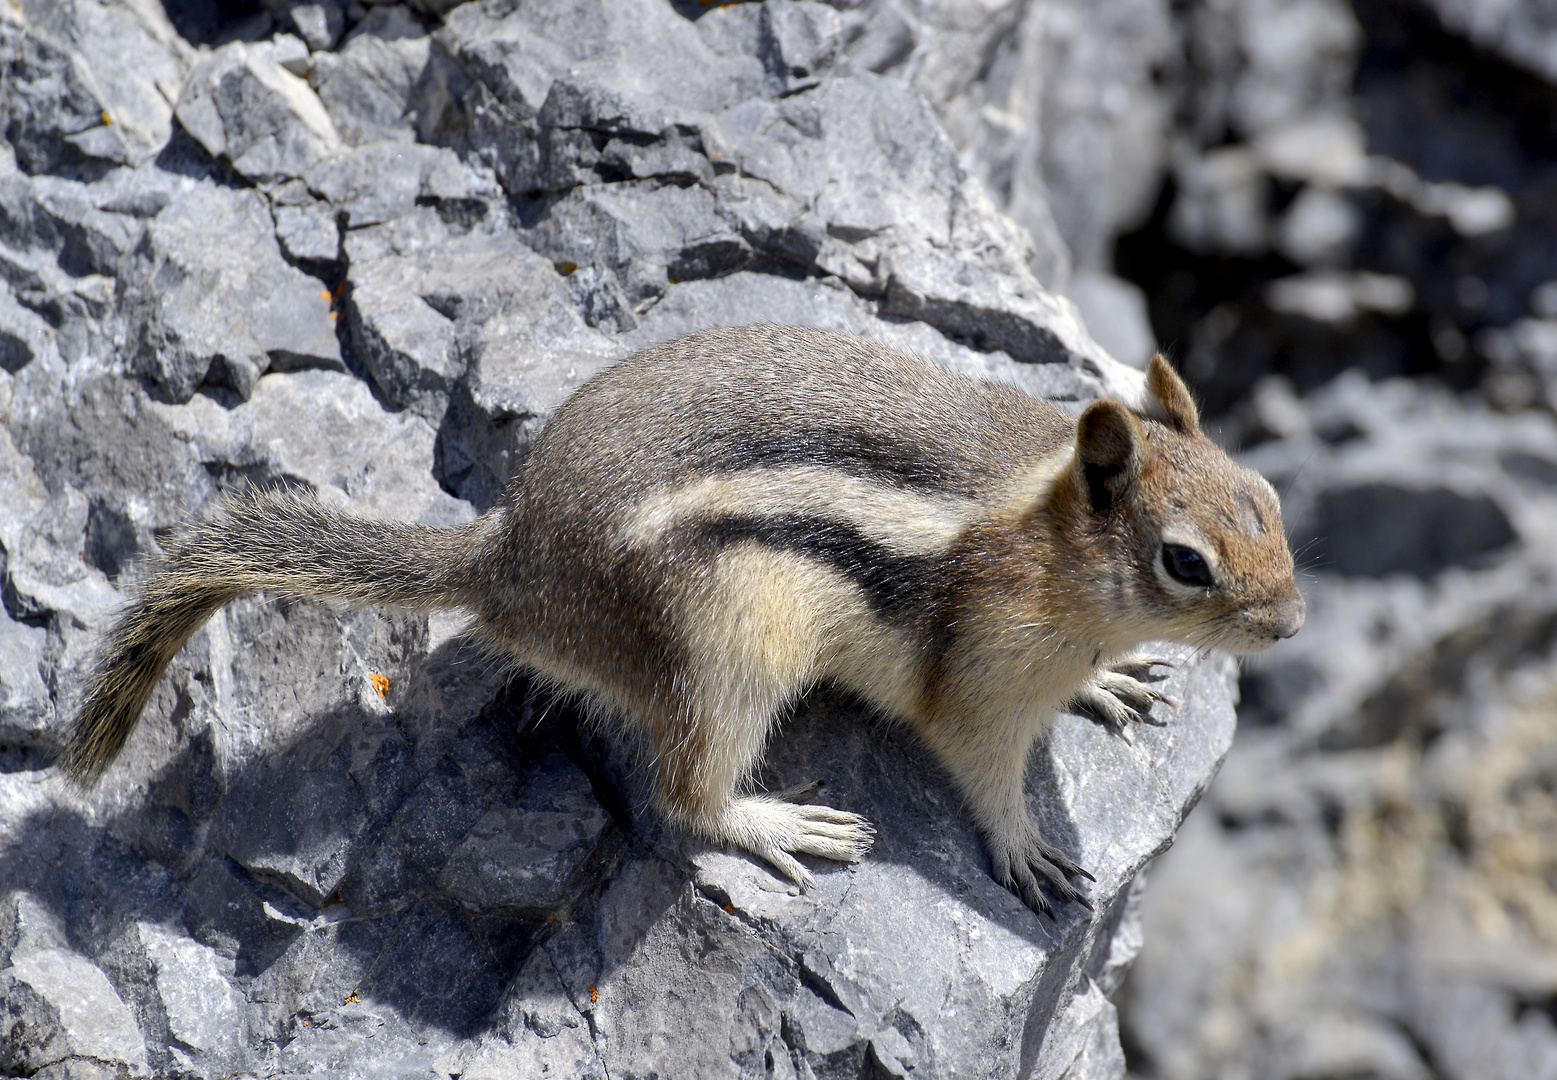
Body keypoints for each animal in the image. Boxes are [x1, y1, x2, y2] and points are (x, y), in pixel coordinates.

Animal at [63, 325, 1301, 915]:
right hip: (722, 648)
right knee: (682, 789)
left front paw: (1109, 681)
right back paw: (776, 823)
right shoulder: (979, 682)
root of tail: (510, 559)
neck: (1052, 548)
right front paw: (1026, 849)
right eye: (1184, 563)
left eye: (1270, 498)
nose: (1291, 625)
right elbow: (983, 773)